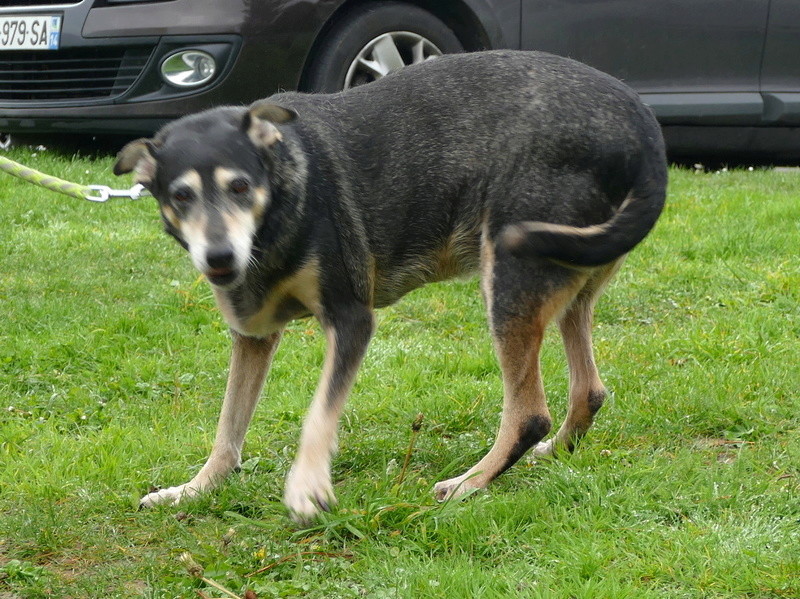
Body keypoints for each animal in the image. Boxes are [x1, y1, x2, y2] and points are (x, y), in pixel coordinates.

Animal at [114, 49, 668, 524]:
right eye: (181, 196)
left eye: (240, 187)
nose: (220, 257)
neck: (284, 194)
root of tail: (644, 128)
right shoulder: (253, 337)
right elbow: (228, 429)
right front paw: (196, 489)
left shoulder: (351, 319)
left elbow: (318, 415)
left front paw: (307, 486)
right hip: (572, 281)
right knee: (589, 391)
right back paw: (551, 453)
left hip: (510, 279)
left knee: (530, 414)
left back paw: (470, 483)